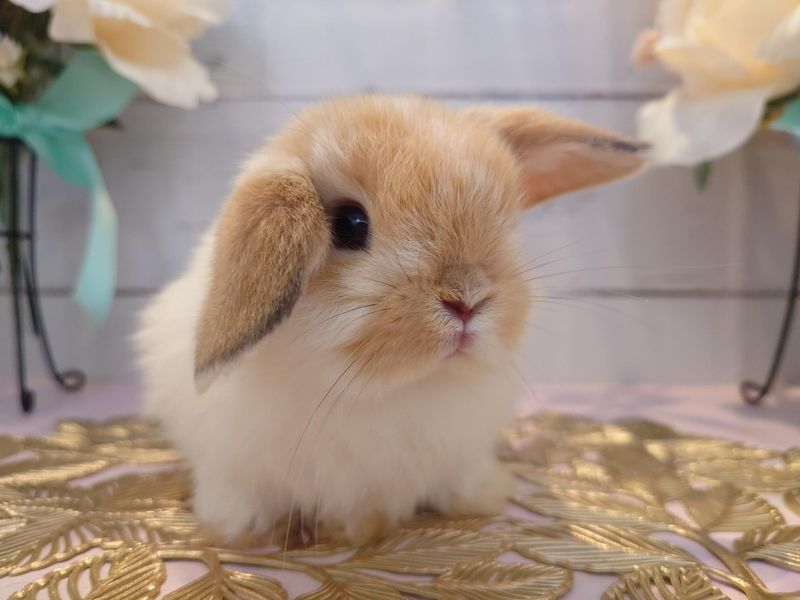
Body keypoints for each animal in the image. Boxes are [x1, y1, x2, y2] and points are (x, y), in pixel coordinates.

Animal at [134, 95, 646, 544]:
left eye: (506, 221)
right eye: (348, 224)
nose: (468, 299)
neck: (390, 390)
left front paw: (480, 499)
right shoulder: (233, 468)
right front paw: (236, 530)